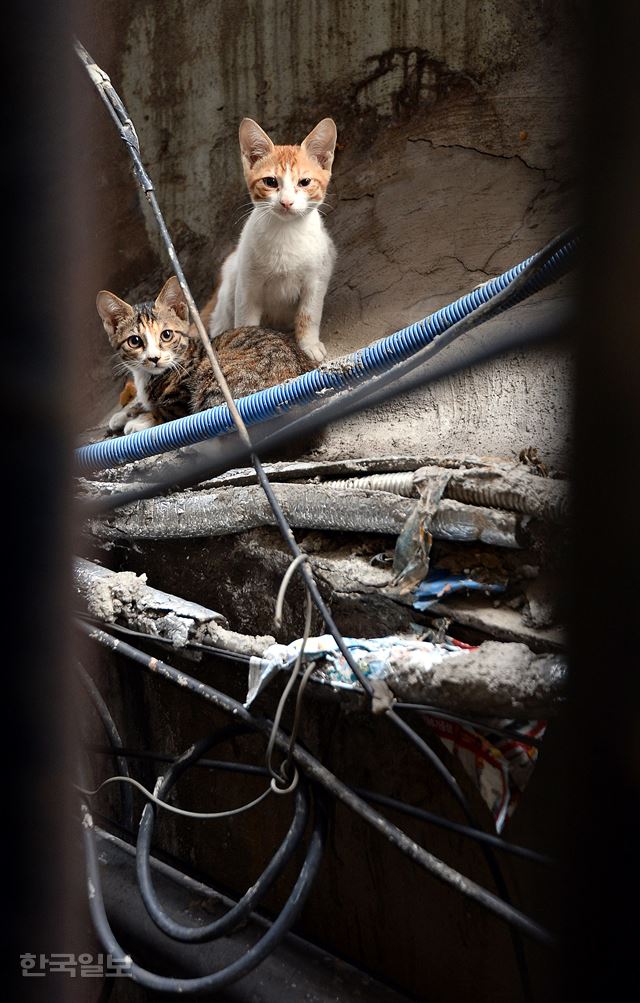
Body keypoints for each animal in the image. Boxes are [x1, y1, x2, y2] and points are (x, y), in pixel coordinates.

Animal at [96, 276, 314, 433]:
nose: (154, 358)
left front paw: (140, 420)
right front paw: (124, 413)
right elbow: (143, 401)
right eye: (135, 341)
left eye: (166, 335)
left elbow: (169, 412)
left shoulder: (181, 398)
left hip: (214, 376)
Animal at [210, 116, 341, 365]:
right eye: (270, 182)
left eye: (304, 182)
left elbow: (308, 314)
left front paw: (309, 344)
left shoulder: (317, 278)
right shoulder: (247, 286)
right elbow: (246, 322)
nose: (286, 202)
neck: (285, 233)